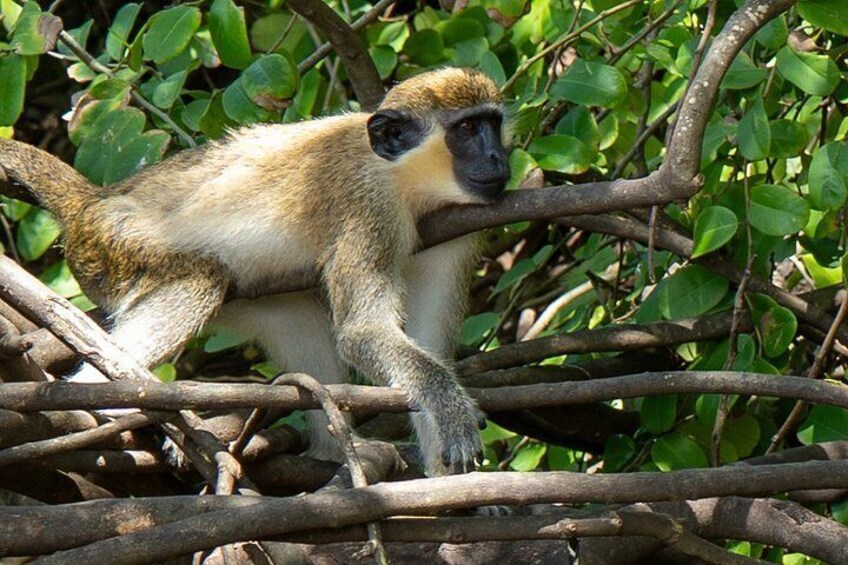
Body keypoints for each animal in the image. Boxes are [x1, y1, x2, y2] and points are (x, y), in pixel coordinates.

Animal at [0, 67, 510, 475]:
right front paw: (452, 413)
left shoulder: (456, 228)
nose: (499, 159)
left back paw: (338, 452)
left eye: (493, 124)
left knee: (297, 320)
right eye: (467, 128)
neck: (407, 182)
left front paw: (456, 490)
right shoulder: (369, 206)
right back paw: (101, 404)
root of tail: (94, 201)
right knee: (200, 280)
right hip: (115, 246)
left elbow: (424, 342)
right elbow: (364, 332)